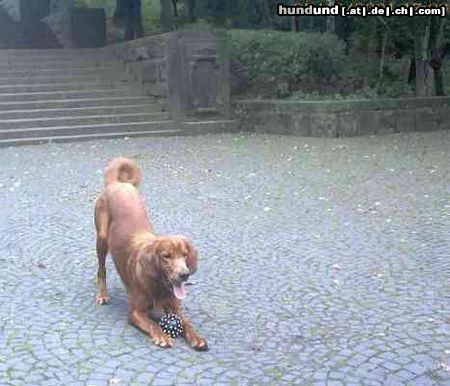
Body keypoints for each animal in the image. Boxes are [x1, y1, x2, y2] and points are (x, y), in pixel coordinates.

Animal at [95, 157, 209, 350]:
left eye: (185, 255)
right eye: (167, 256)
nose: (184, 275)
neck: (160, 285)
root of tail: (117, 183)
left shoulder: (176, 308)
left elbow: (186, 322)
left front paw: (197, 337)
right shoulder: (136, 312)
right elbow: (152, 324)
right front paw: (162, 336)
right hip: (102, 238)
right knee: (101, 269)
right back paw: (102, 294)